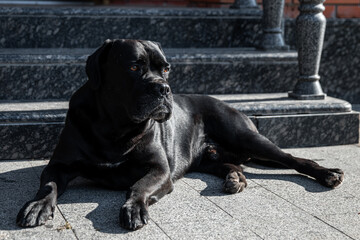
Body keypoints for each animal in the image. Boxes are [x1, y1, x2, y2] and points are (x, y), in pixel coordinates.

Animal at [16, 39, 344, 231]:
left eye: (166, 69)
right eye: (133, 67)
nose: (164, 88)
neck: (115, 126)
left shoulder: (159, 169)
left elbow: (138, 187)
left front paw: (134, 209)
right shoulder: (59, 165)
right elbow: (48, 186)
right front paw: (37, 206)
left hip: (248, 139)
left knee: (295, 159)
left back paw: (328, 173)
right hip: (210, 157)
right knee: (232, 164)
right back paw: (234, 179)